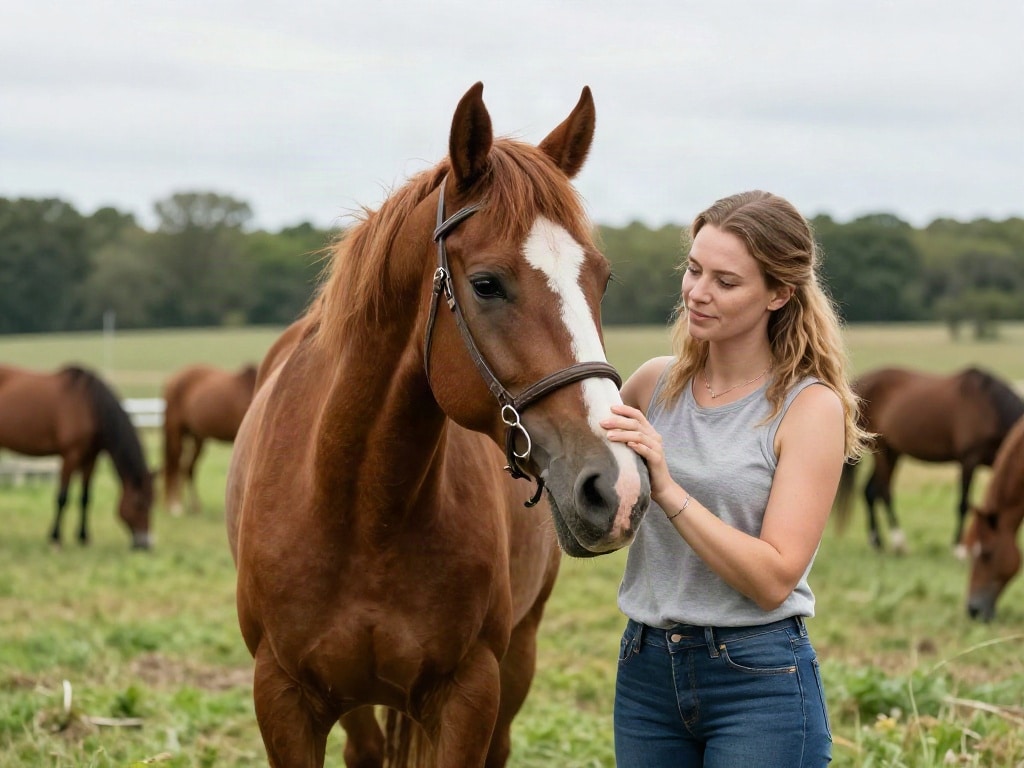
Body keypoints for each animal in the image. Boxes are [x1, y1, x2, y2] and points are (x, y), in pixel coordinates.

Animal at [0, 364, 153, 549]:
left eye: (152, 503)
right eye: (139, 503)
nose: (145, 544)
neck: (90, 406)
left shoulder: (90, 459)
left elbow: (85, 498)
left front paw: (83, 537)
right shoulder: (70, 456)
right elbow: (62, 497)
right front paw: (55, 538)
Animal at [162, 363, 257, 515]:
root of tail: (172, 379)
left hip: (197, 437)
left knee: (188, 468)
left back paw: (195, 507)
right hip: (175, 431)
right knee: (174, 464)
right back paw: (174, 505)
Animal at [225, 82, 651, 767]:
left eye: (601, 279)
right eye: (487, 284)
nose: (619, 488)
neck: (363, 511)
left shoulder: (469, 694)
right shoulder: (283, 698)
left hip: (518, 656)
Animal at [835, 366, 1024, 555]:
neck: (990, 408)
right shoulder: (969, 460)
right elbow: (963, 503)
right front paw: (959, 547)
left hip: (893, 453)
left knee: (870, 491)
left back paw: (877, 542)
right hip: (883, 451)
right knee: (883, 491)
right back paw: (899, 542)